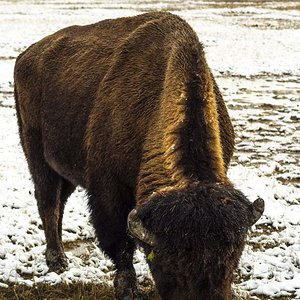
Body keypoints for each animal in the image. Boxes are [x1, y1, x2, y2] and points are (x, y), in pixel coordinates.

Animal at [14, 11, 264, 300]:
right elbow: (119, 242)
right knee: (48, 202)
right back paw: (57, 261)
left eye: (232, 259)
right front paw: (128, 289)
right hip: (37, 155)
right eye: (169, 265)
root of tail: (25, 56)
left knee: (59, 203)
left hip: (66, 169)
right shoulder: (108, 191)